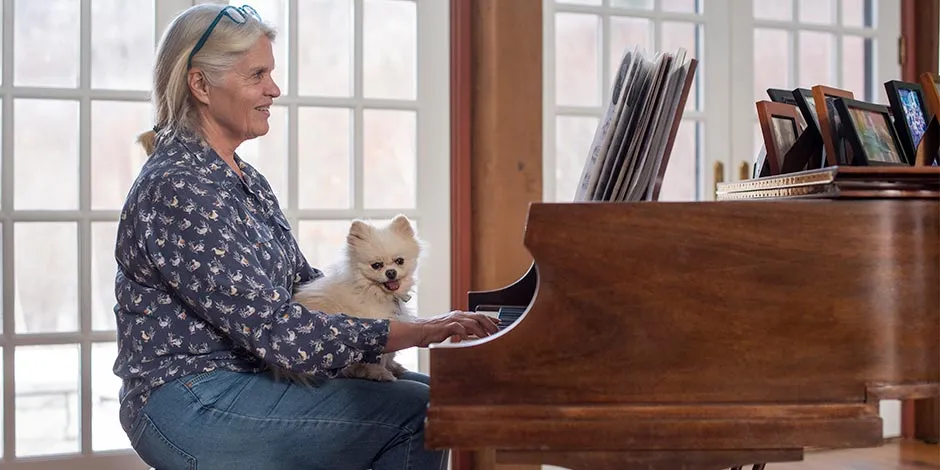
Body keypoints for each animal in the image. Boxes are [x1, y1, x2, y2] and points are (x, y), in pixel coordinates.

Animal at [288, 215, 420, 384]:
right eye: (376, 265)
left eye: (399, 261)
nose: (391, 272)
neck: (372, 292)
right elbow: (376, 359)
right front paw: (380, 373)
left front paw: (393, 367)